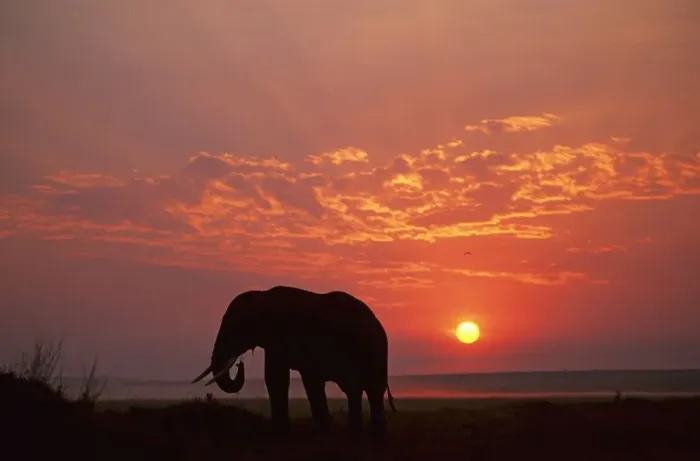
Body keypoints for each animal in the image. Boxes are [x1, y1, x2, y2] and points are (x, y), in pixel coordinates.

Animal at [192, 285, 397, 438]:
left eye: (237, 327)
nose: (239, 364)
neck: (263, 296)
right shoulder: (275, 343)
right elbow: (275, 378)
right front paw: (281, 432)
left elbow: (299, 379)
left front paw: (319, 432)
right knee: (354, 390)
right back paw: (356, 434)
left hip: (375, 352)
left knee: (371, 390)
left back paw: (375, 437)